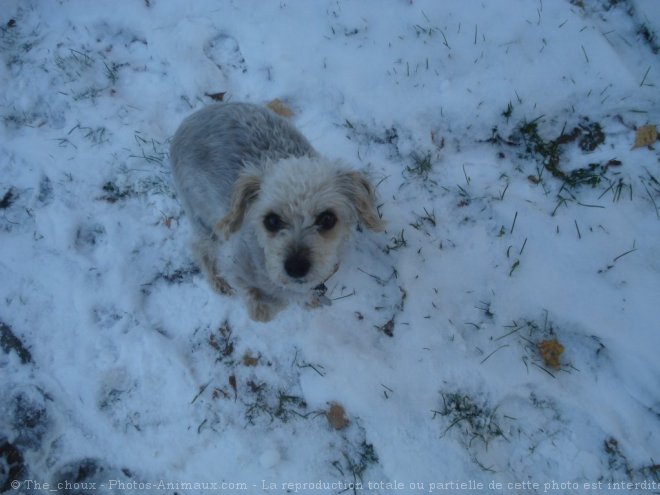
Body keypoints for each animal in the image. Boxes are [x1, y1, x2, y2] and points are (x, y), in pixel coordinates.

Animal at [170, 102, 384, 324]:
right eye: (271, 221)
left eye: (327, 219)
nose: (296, 267)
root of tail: (193, 117)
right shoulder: (233, 262)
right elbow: (257, 299)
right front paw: (262, 307)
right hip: (202, 215)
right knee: (198, 246)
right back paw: (217, 281)